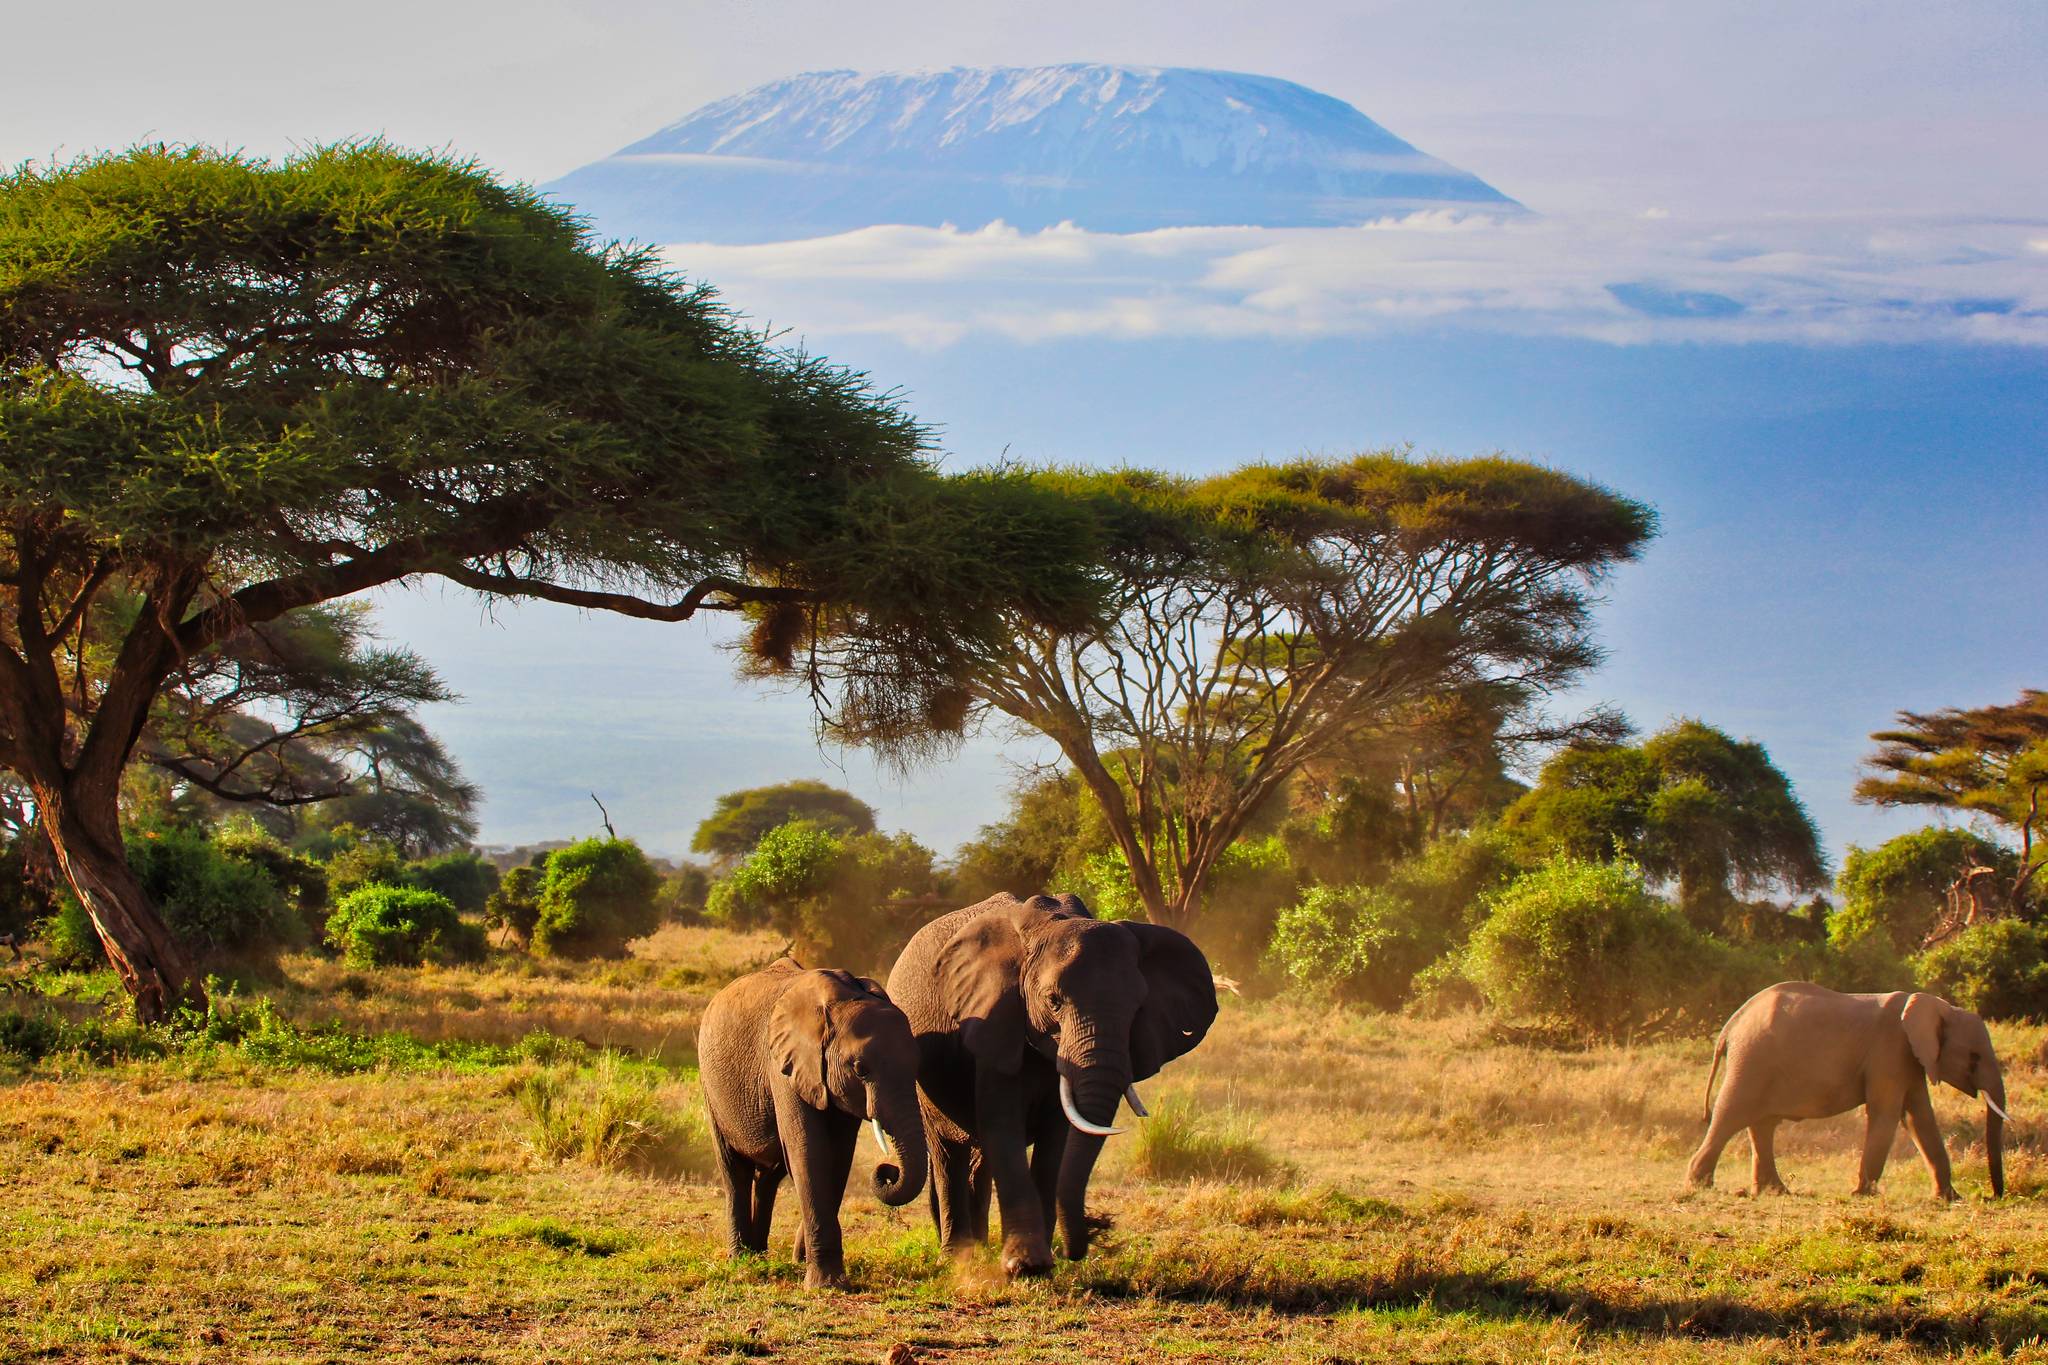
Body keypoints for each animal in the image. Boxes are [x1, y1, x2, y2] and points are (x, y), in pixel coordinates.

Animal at [700, 957, 933, 1285]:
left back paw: (761, 1255)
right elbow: (809, 1152)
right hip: (712, 1090)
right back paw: (742, 1260)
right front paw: (826, 1285)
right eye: (860, 1069)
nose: (887, 1171)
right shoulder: (785, 1067)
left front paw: (805, 1264)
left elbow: (838, 1158)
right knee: (734, 1171)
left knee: (770, 1175)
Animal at [884, 892, 1212, 1277]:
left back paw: (978, 1248)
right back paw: (956, 1257)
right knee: (948, 1152)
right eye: (1053, 1001)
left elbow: (1055, 1139)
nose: (1092, 1233)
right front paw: (1025, 1265)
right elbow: (1004, 1127)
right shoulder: (994, 1020)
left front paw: (1041, 1264)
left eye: (1137, 1008)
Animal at [1687, 986, 2007, 1203]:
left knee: (1762, 1124)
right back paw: (1699, 1185)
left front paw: (1950, 1198)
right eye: (1974, 1058)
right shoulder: (1890, 1050)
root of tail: (1731, 1024)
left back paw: (1775, 1191)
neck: (1938, 1006)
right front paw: (1862, 1194)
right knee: (1730, 1115)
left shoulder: (1911, 1059)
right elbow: (1887, 1114)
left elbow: (1919, 1117)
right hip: (1751, 1058)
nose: (1993, 1196)